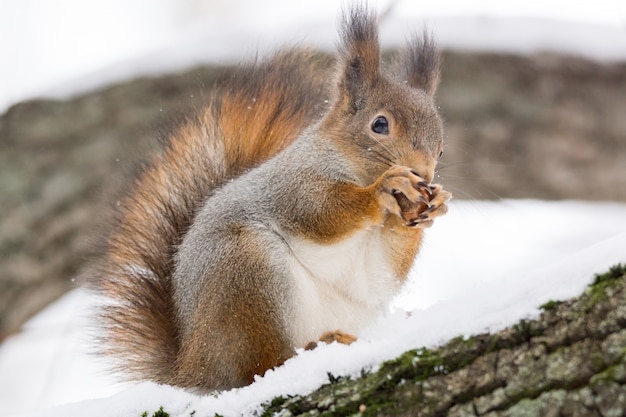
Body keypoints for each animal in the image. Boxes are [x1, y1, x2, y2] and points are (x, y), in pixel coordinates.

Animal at [89, 4, 448, 392]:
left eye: (441, 148)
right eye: (379, 124)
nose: (424, 174)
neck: (351, 165)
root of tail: (195, 367)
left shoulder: (373, 259)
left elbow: (382, 270)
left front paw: (432, 207)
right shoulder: (292, 184)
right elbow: (320, 213)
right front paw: (383, 189)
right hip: (247, 272)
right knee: (260, 367)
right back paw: (317, 346)